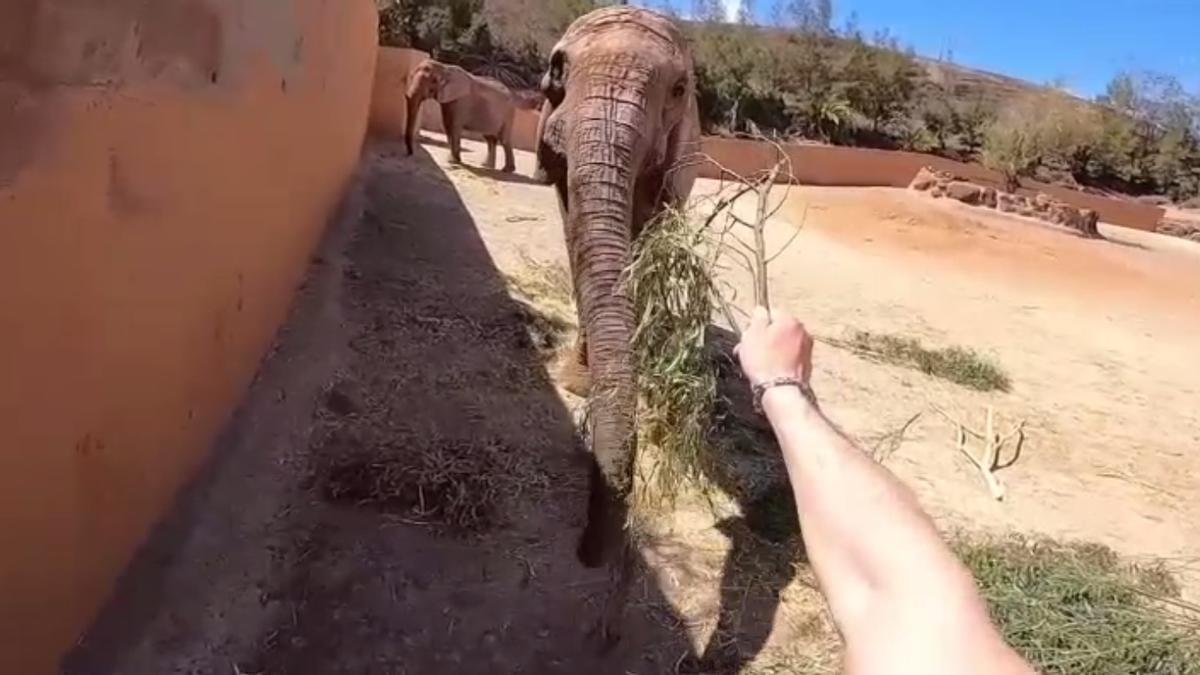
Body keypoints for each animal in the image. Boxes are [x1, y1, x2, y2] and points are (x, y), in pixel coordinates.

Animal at [537, 3, 700, 634]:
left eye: (678, 90)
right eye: (559, 72)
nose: (586, 554)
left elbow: (641, 236)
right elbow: (575, 229)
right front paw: (577, 381)